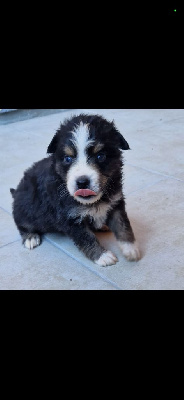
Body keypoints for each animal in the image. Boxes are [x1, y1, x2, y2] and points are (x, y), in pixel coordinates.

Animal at [10, 114, 140, 268]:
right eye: (68, 158)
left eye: (100, 156)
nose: (82, 182)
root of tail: (16, 192)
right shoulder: (69, 217)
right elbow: (86, 238)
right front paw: (103, 256)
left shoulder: (115, 202)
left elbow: (123, 226)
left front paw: (131, 249)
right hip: (25, 209)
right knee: (23, 224)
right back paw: (30, 237)